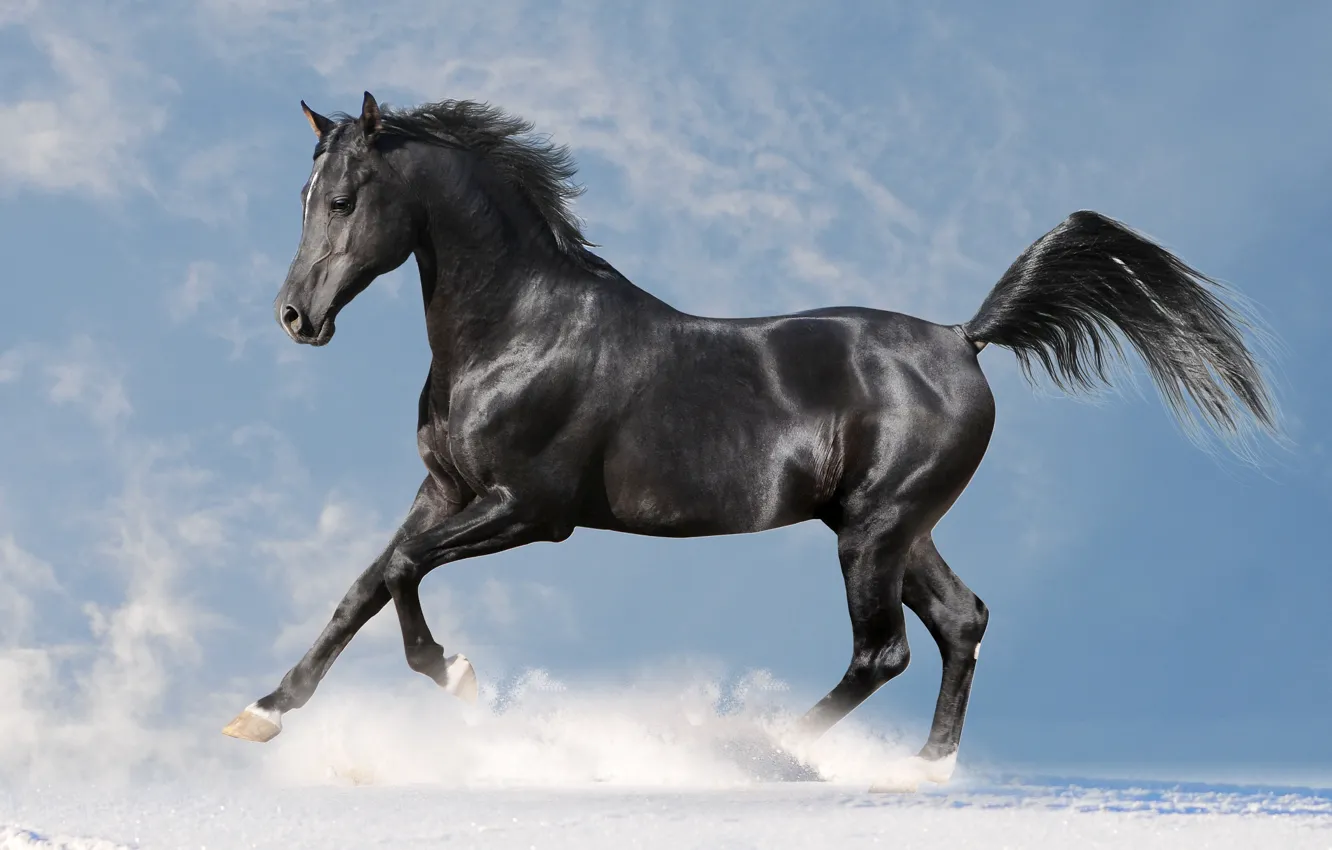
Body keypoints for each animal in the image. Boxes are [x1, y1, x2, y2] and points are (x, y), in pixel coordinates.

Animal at [222, 92, 1279, 791]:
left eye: (347, 197)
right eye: (304, 195)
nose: (295, 317)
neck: (522, 329)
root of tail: (963, 336)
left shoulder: (530, 510)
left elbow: (404, 576)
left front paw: (459, 678)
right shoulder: (442, 490)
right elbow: (364, 585)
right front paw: (263, 713)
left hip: (873, 531)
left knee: (884, 651)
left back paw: (745, 748)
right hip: (892, 525)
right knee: (962, 621)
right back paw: (923, 775)